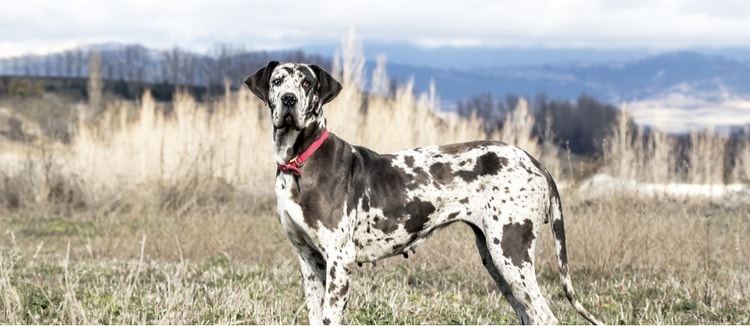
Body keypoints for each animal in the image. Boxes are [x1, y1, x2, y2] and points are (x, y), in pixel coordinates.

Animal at [248, 61, 604, 326]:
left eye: (306, 83)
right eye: (278, 81)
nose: (289, 99)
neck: (299, 163)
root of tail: (536, 162)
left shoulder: (339, 260)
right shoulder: (310, 261)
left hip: (511, 253)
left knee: (545, 316)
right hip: (496, 260)